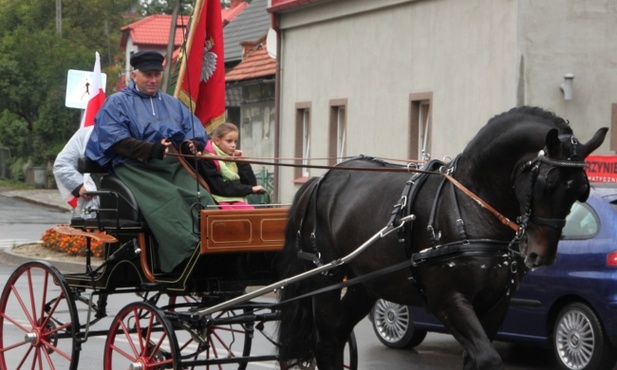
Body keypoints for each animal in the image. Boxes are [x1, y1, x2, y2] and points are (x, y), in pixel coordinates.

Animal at [276, 105, 608, 368]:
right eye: (547, 185)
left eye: (581, 191)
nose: (541, 254)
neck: (471, 206)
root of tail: (321, 178)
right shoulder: (448, 301)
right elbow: (488, 358)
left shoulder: (497, 304)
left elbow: (477, 359)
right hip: (326, 278)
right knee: (326, 343)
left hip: (365, 285)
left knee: (337, 338)